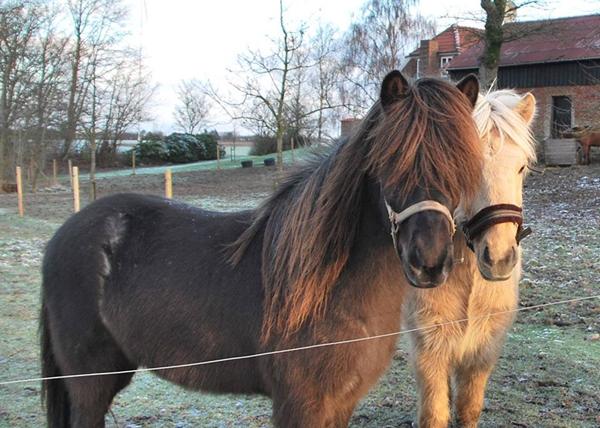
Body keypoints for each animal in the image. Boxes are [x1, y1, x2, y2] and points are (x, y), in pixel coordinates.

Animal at [41, 71, 482, 428]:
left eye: (463, 166)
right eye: (391, 161)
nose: (429, 262)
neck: (325, 287)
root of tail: (66, 234)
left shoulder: (341, 404)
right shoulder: (299, 405)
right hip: (90, 382)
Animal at [404, 88, 536, 426]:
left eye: (521, 167)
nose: (499, 258)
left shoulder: (483, 350)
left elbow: (468, 408)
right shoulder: (429, 347)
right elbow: (434, 414)